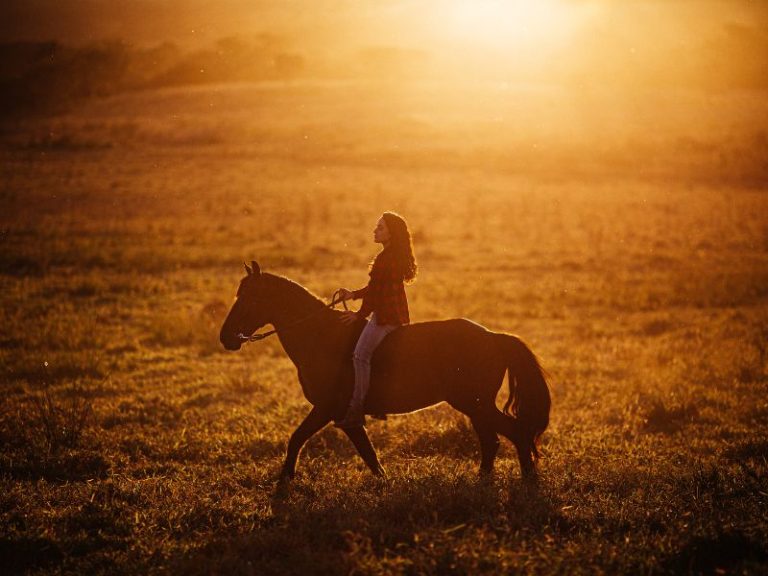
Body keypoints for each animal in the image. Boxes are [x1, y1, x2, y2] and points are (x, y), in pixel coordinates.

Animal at [220, 260, 551, 481]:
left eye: (250, 297)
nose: (226, 337)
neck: (321, 336)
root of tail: (494, 337)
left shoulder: (328, 408)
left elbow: (298, 438)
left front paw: (284, 482)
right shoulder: (344, 416)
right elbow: (367, 454)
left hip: (475, 403)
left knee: (513, 433)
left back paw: (526, 480)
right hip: (475, 406)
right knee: (492, 440)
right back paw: (484, 480)